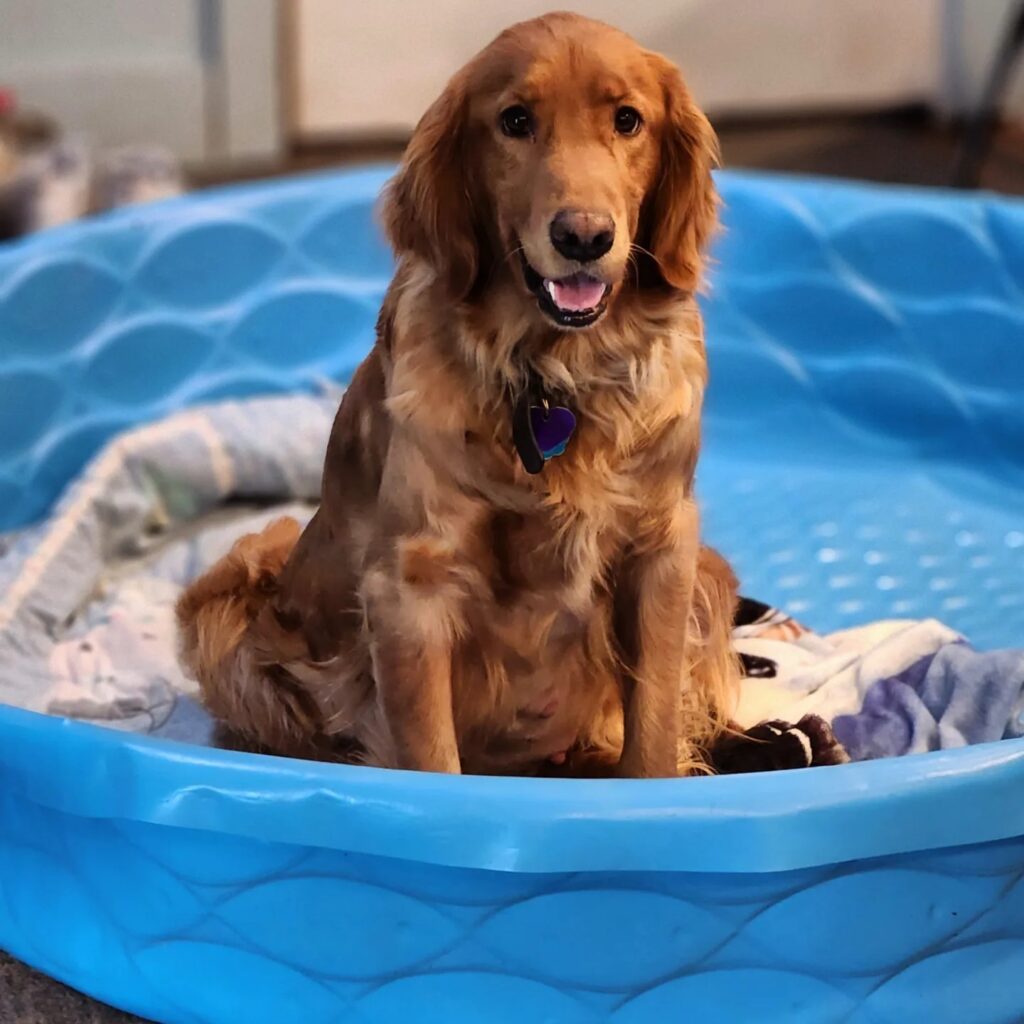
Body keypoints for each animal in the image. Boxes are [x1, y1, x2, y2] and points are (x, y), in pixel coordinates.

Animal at [178, 9, 847, 774]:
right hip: (230, 600)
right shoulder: (411, 590)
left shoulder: (662, 550)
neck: (556, 377)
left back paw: (789, 744)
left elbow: (652, 735)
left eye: (627, 119)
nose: (583, 236)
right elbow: (431, 758)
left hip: (705, 569)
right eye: (515, 120)